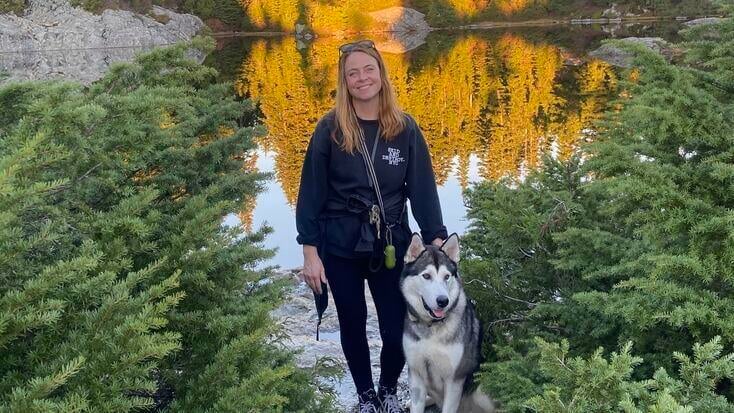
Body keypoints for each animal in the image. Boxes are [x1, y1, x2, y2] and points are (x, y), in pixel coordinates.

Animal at [400, 233, 498, 410]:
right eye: (426, 276)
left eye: (446, 276)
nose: (443, 301)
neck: (432, 327)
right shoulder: (416, 373)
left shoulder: (454, 380)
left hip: (481, 389)